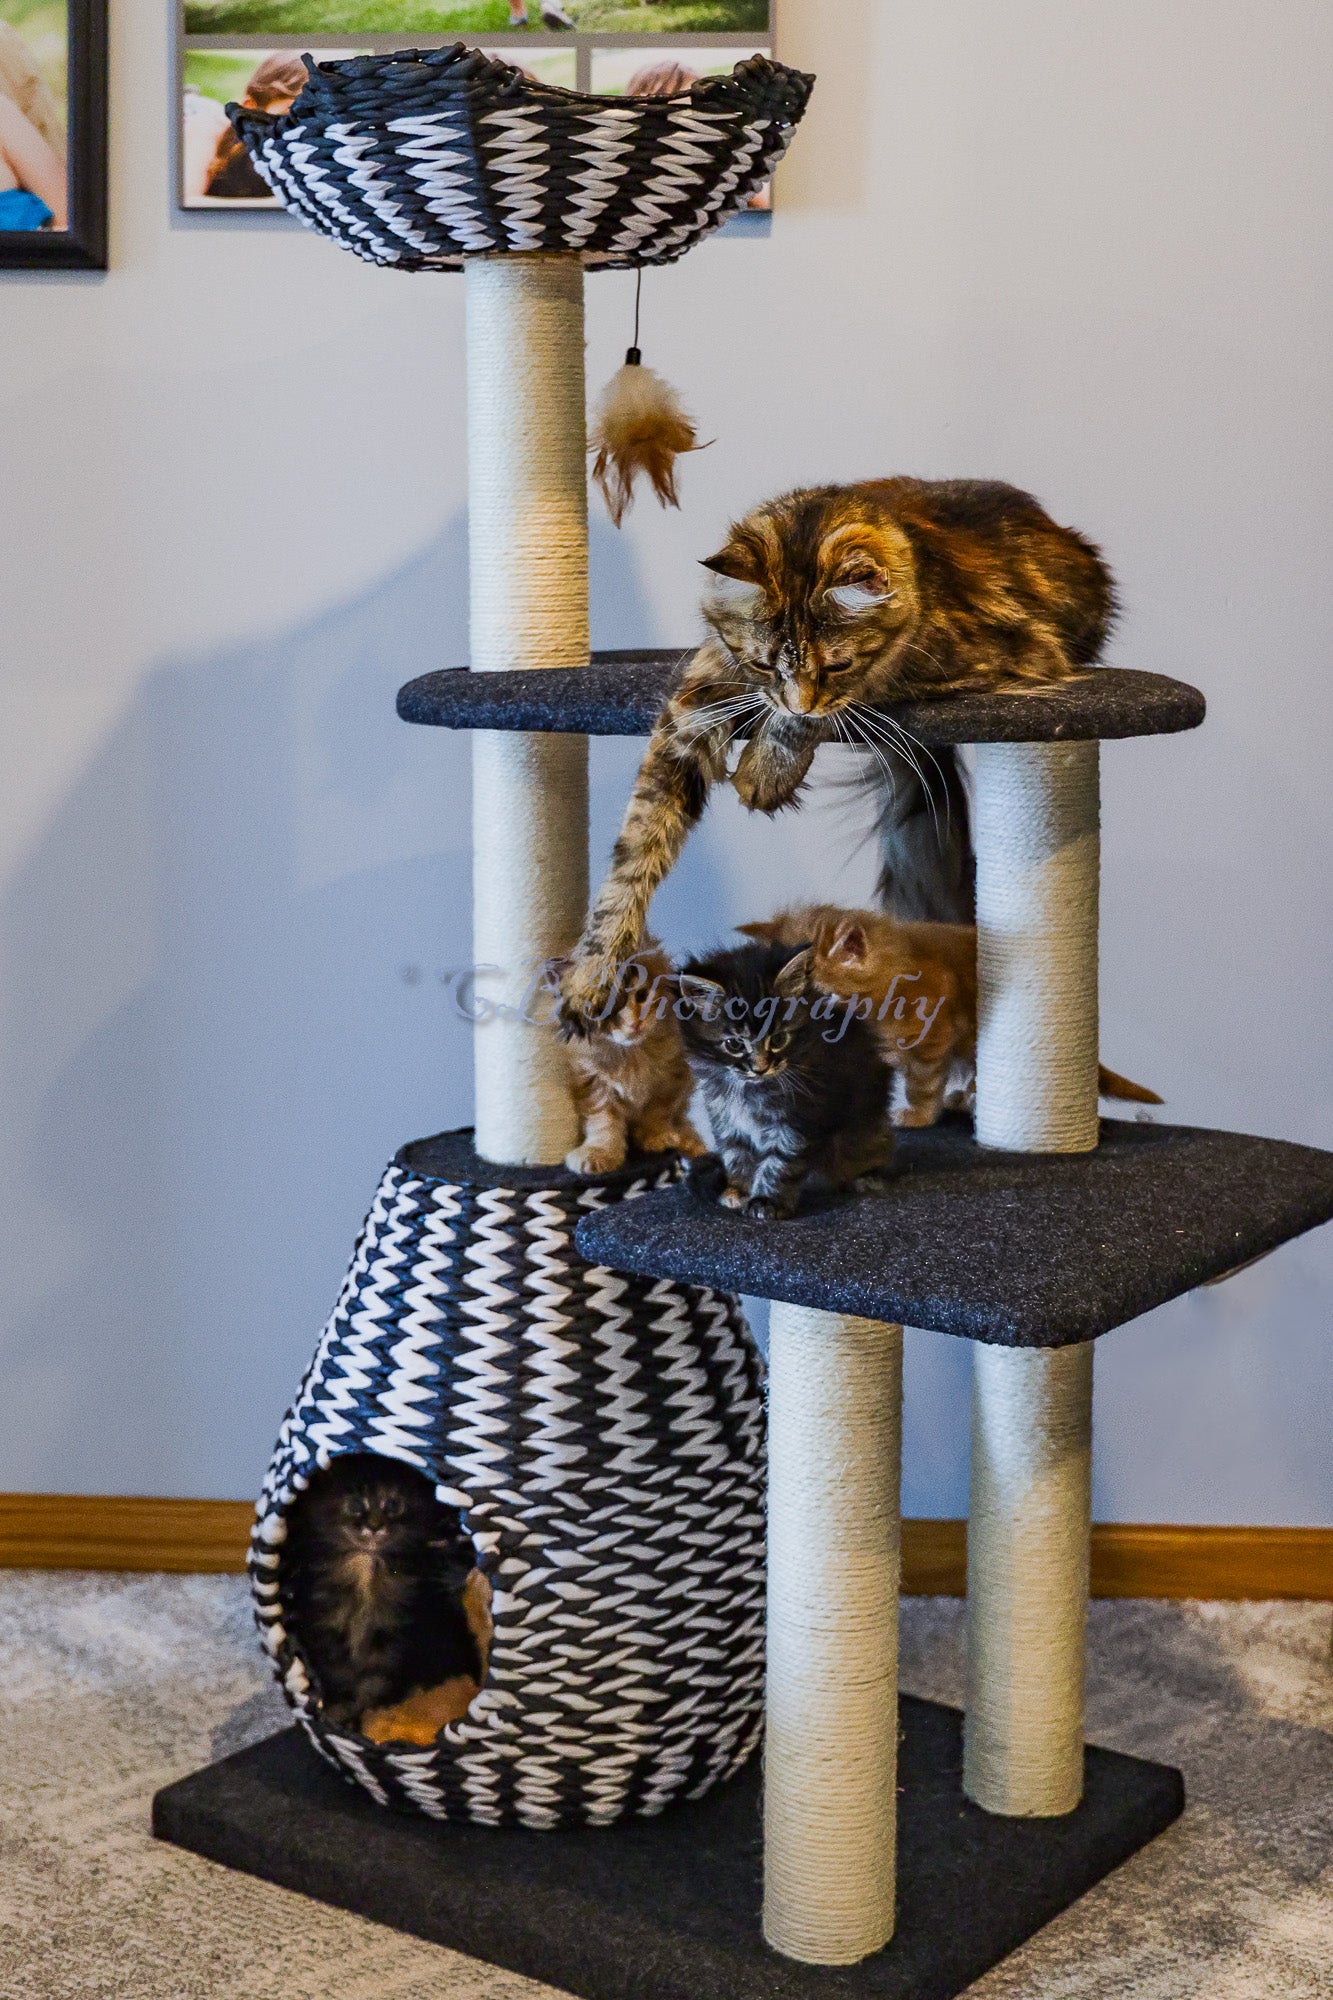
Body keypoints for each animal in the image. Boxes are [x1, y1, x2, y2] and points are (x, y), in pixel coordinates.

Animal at [278, 1456, 488, 1752]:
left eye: (394, 1505)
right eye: (356, 1505)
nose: (376, 1526)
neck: (366, 1570)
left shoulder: (395, 1640)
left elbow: (375, 1686)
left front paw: (362, 1722)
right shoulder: (326, 1633)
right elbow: (336, 1678)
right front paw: (337, 1715)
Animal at [560, 476, 1112, 1024]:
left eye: (837, 667)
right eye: (763, 665)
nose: (798, 698)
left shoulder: (989, 660)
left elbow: (815, 714)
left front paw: (764, 771)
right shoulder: (694, 704)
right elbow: (631, 859)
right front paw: (591, 976)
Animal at [676, 936, 892, 1216]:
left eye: (778, 1039)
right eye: (734, 1045)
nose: (760, 1067)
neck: (751, 1090)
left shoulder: (799, 1116)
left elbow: (780, 1163)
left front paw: (767, 1201)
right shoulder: (726, 1117)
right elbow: (736, 1155)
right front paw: (738, 1191)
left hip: (865, 1128)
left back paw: (866, 1178)